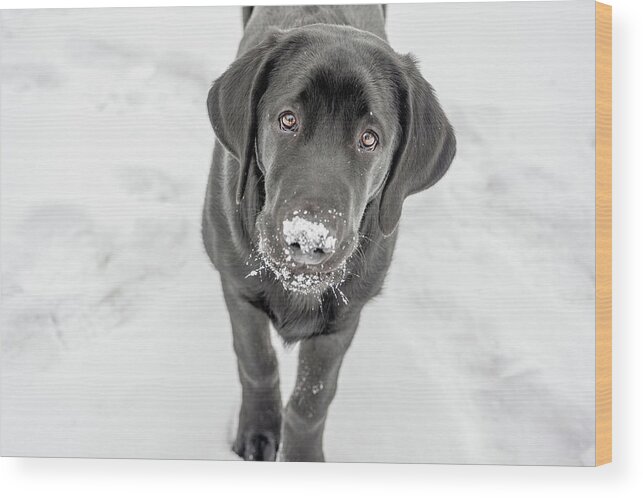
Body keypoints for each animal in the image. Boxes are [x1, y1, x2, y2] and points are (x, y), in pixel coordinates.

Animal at [204, 4, 456, 462]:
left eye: (369, 139)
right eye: (287, 120)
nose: (309, 239)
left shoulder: (345, 315)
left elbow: (312, 397)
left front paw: (303, 458)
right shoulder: (236, 286)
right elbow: (257, 360)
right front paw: (258, 433)